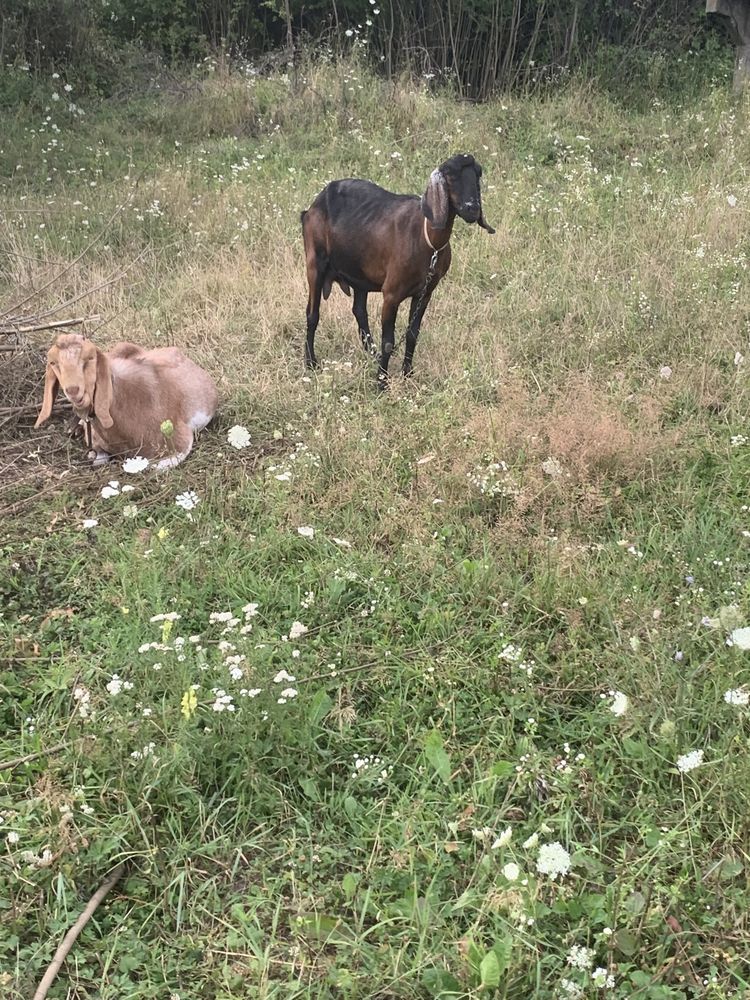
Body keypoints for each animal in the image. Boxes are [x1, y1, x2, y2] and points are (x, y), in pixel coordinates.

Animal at [302, 152, 496, 382]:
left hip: (360, 274)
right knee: (312, 314)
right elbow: (388, 341)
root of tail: (313, 205)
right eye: (451, 175)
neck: (427, 240)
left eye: (478, 174)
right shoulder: (391, 293)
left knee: (359, 311)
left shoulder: (425, 293)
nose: (472, 209)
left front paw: (407, 373)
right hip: (315, 263)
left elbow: (412, 334)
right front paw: (381, 381)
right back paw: (311, 362)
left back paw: (372, 355)